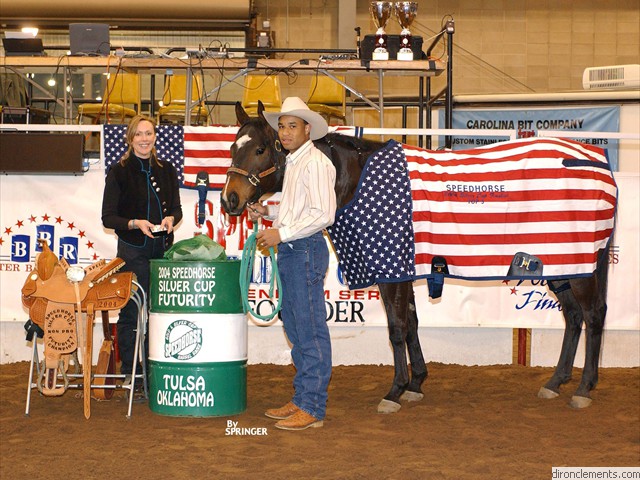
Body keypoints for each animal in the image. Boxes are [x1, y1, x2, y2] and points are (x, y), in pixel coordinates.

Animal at [220, 101, 616, 412]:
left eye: (260, 149)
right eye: (232, 147)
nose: (230, 200)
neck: (354, 178)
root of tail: (596, 163)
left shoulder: (391, 270)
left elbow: (397, 328)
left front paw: (394, 391)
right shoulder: (404, 270)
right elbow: (411, 323)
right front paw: (416, 384)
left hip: (581, 266)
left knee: (593, 315)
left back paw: (583, 388)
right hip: (560, 264)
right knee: (573, 317)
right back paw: (555, 382)